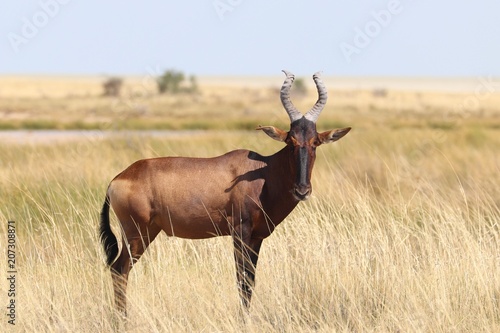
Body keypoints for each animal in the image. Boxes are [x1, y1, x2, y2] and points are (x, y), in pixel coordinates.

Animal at [99, 70, 350, 314]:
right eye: (290, 141)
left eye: (315, 142)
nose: (302, 190)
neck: (263, 172)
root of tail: (117, 179)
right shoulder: (240, 232)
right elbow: (241, 281)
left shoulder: (257, 238)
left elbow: (250, 281)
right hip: (136, 233)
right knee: (119, 270)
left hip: (148, 231)